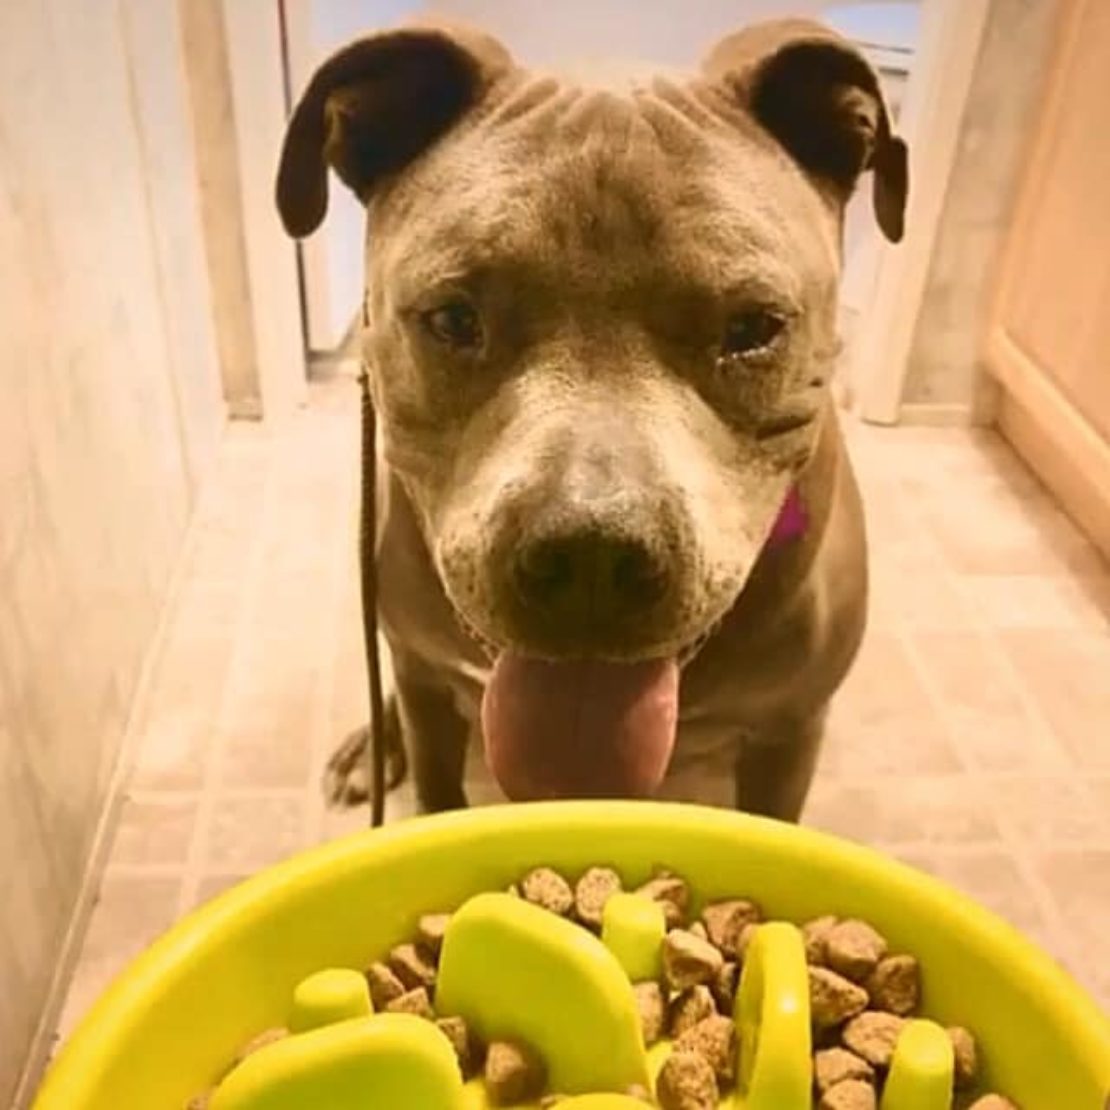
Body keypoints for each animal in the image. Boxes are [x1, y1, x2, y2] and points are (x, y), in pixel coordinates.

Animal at [273, 15, 905, 816]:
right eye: (453, 319)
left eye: (754, 328)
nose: (590, 559)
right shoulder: (425, 691)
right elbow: (437, 788)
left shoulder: (788, 732)